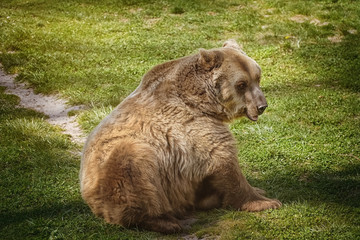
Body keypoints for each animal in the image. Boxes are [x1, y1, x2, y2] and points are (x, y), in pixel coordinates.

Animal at [79, 40, 282, 233]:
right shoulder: (194, 127)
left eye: (257, 77)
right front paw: (266, 201)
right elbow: (224, 160)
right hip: (118, 170)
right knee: (133, 169)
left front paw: (258, 189)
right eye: (241, 84)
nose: (261, 106)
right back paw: (166, 222)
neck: (203, 102)